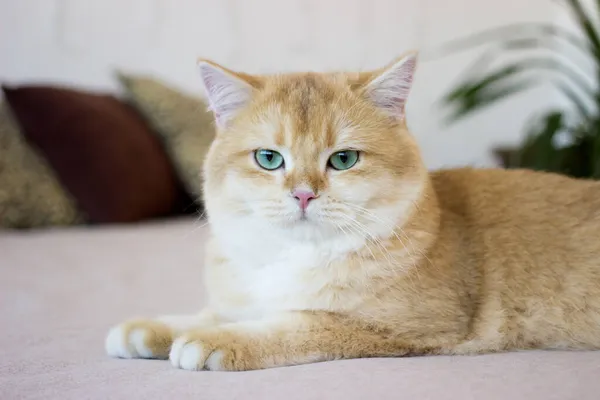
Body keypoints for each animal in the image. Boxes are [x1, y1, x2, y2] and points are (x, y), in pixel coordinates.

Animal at [105, 50, 600, 372]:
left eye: (343, 159)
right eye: (268, 158)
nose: (304, 194)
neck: (297, 257)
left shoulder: (396, 326)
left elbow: (295, 324)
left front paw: (215, 340)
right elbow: (220, 311)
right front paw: (156, 327)